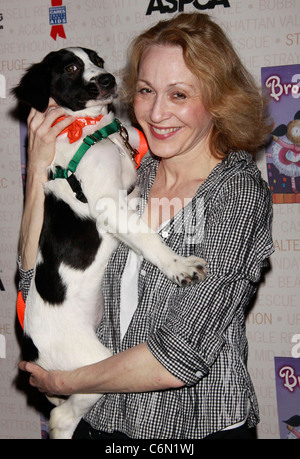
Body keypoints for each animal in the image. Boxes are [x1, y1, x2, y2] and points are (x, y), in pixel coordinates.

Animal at [13, 48, 206, 440]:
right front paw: (179, 266)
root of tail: (31, 348)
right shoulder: (108, 205)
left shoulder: (129, 173)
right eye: (71, 67)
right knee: (61, 417)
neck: (94, 132)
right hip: (89, 364)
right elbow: (147, 237)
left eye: (98, 60)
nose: (107, 80)